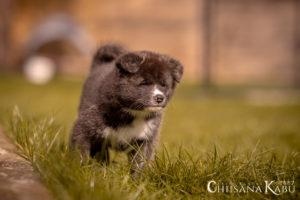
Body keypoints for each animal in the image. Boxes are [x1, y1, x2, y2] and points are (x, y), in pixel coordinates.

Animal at [71, 43, 183, 175]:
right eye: (144, 83)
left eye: (164, 85)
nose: (159, 98)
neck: (133, 113)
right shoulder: (85, 127)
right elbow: (80, 152)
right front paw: (79, 172)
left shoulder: (145, 138)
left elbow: (140, 162)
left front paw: (138, 179)